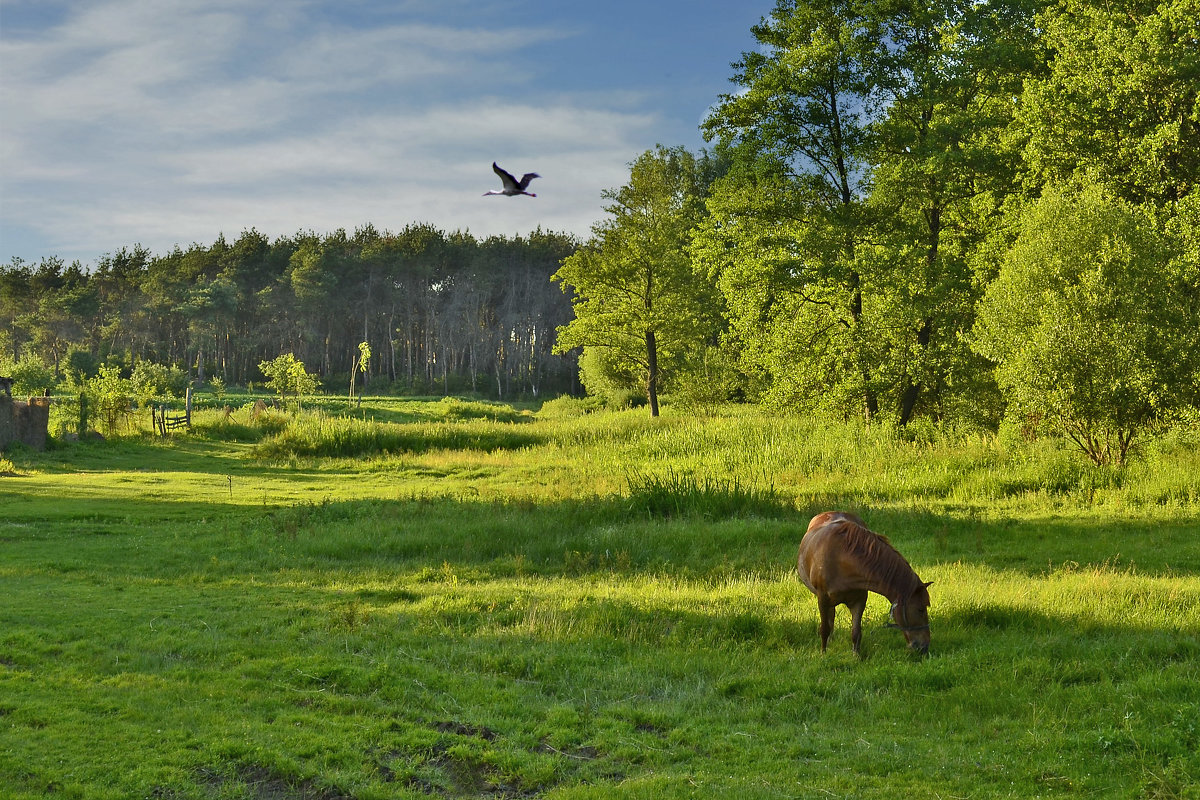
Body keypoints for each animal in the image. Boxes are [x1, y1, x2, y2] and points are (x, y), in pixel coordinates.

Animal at [801, 513, 931, 657]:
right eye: (921, 609)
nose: (925, 646)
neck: (841, 559)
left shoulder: (859, 601)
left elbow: (856, 632)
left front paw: (856, 656)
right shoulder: (822, 599)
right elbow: (824, 629)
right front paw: (823, 654)